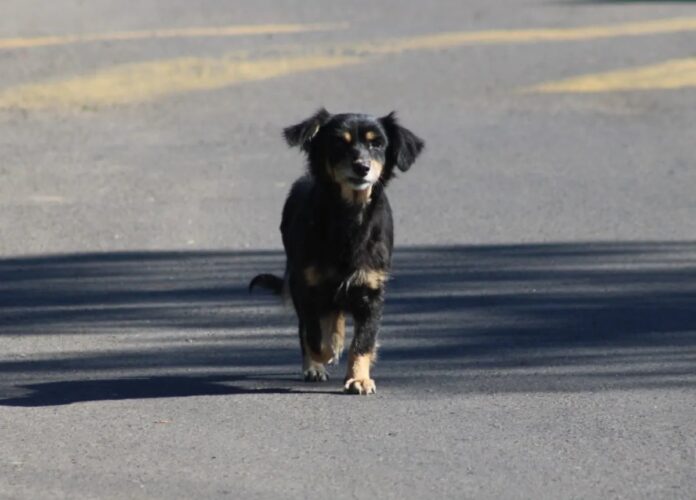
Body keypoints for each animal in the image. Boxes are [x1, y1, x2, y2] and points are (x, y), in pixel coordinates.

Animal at [250, 109, 424, 394]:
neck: (349, 216)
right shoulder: (305, 285)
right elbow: (313, 335)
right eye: (339, 143)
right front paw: (324, 355)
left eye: (377, 144)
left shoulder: (371, 290)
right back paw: (316, 365)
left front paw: (359, 378)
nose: (362, 167)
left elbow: (363, 340)